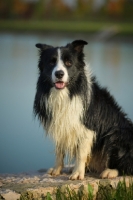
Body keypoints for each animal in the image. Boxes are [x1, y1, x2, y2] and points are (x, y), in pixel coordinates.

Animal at [33, 39, 133, 180]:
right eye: (51, 62)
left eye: (69, 63)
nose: (59, 74)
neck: (66, 93)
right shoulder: (60, 124)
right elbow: (59, 150)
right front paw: (57, 169)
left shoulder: (87, 128)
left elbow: (81, 153)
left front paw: (77, 173)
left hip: (117, 134)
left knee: (127, 164)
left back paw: (110, 171)